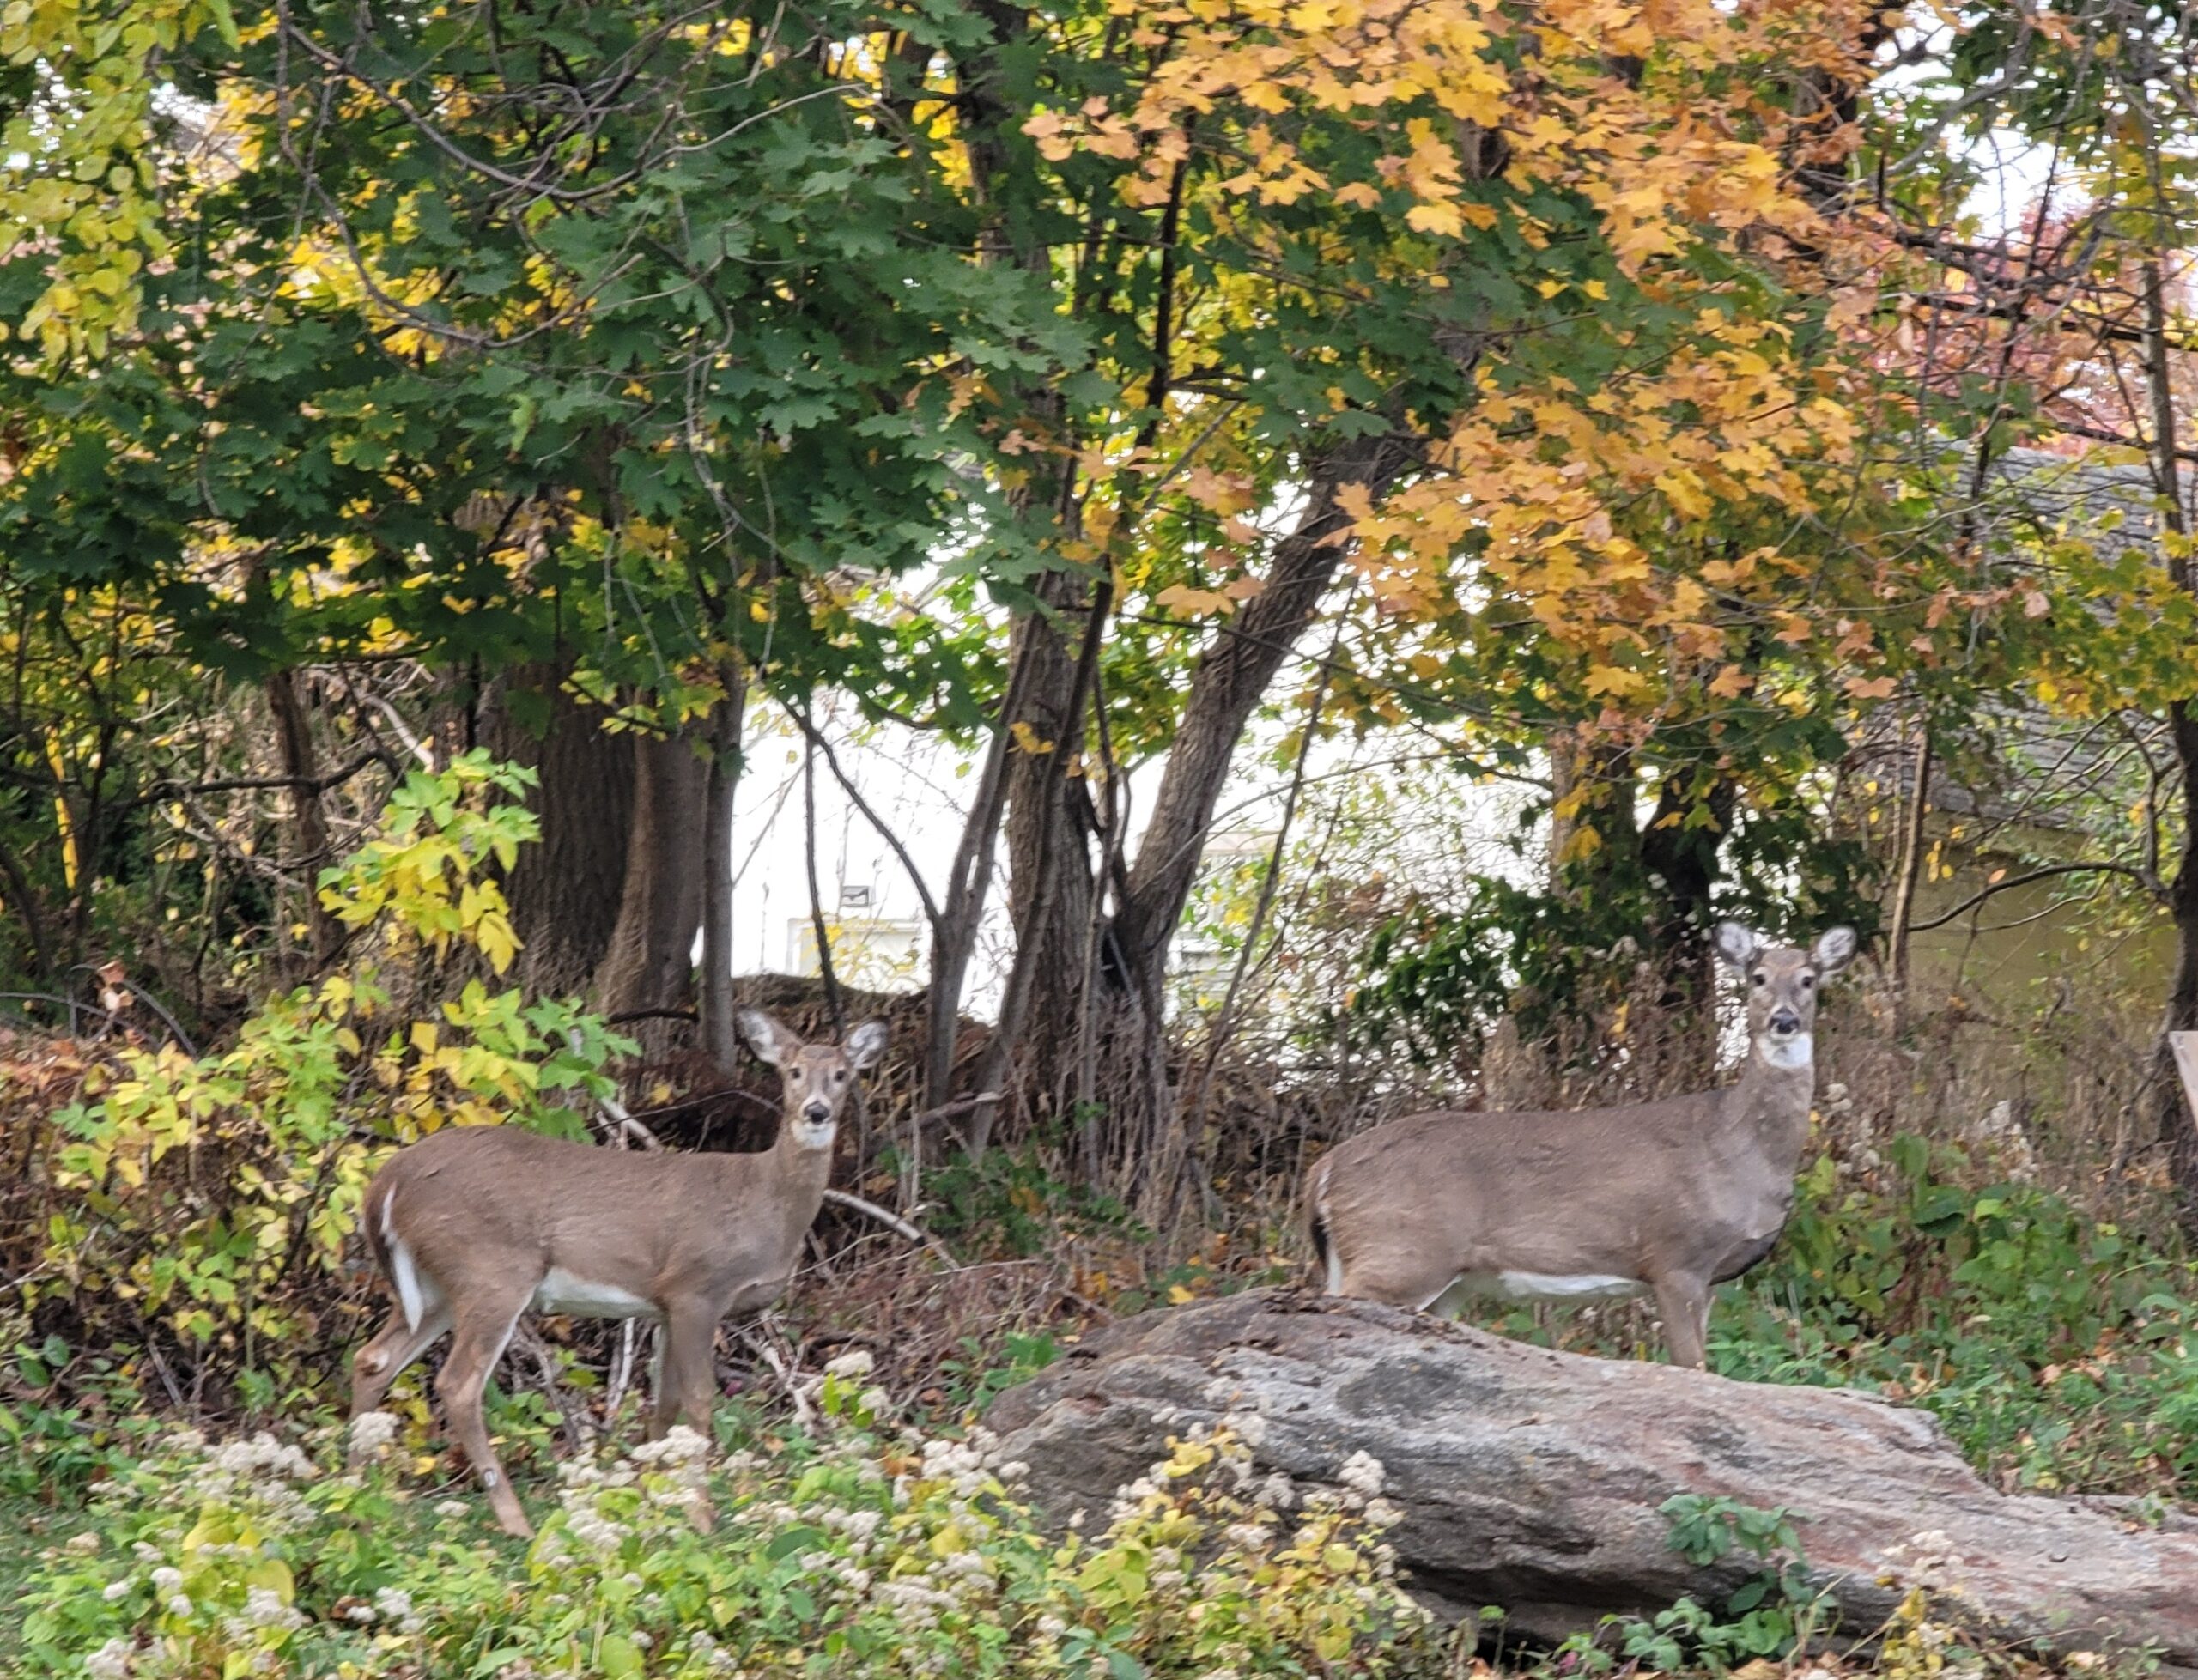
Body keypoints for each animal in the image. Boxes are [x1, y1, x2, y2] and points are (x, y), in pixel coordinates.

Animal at [347, 1009, 886, 1536]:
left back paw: (361, 1501)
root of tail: (386, 1183)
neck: (764, 1204)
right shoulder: (696, 1286)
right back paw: (515, 1522)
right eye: (793, 1072)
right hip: (492, 1270)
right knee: (457, 1385)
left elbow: (665, 1404)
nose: (816, 1111)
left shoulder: (664, 1307)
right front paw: (699, 1516)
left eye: (842, 1074)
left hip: (436, 1286)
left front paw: (653, 1502)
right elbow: (699, 1399)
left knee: (373, 1359)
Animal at [1306, 923, 1855, 1369]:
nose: (1784, 1021)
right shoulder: (1675, 1257)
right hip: (1401, 1248)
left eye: (1809, 978)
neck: (1738, 1148)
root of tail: (1325, 1170)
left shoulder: (1714, 1278)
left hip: (1427, 1276)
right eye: (1757, 977)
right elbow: (1693, 1367)